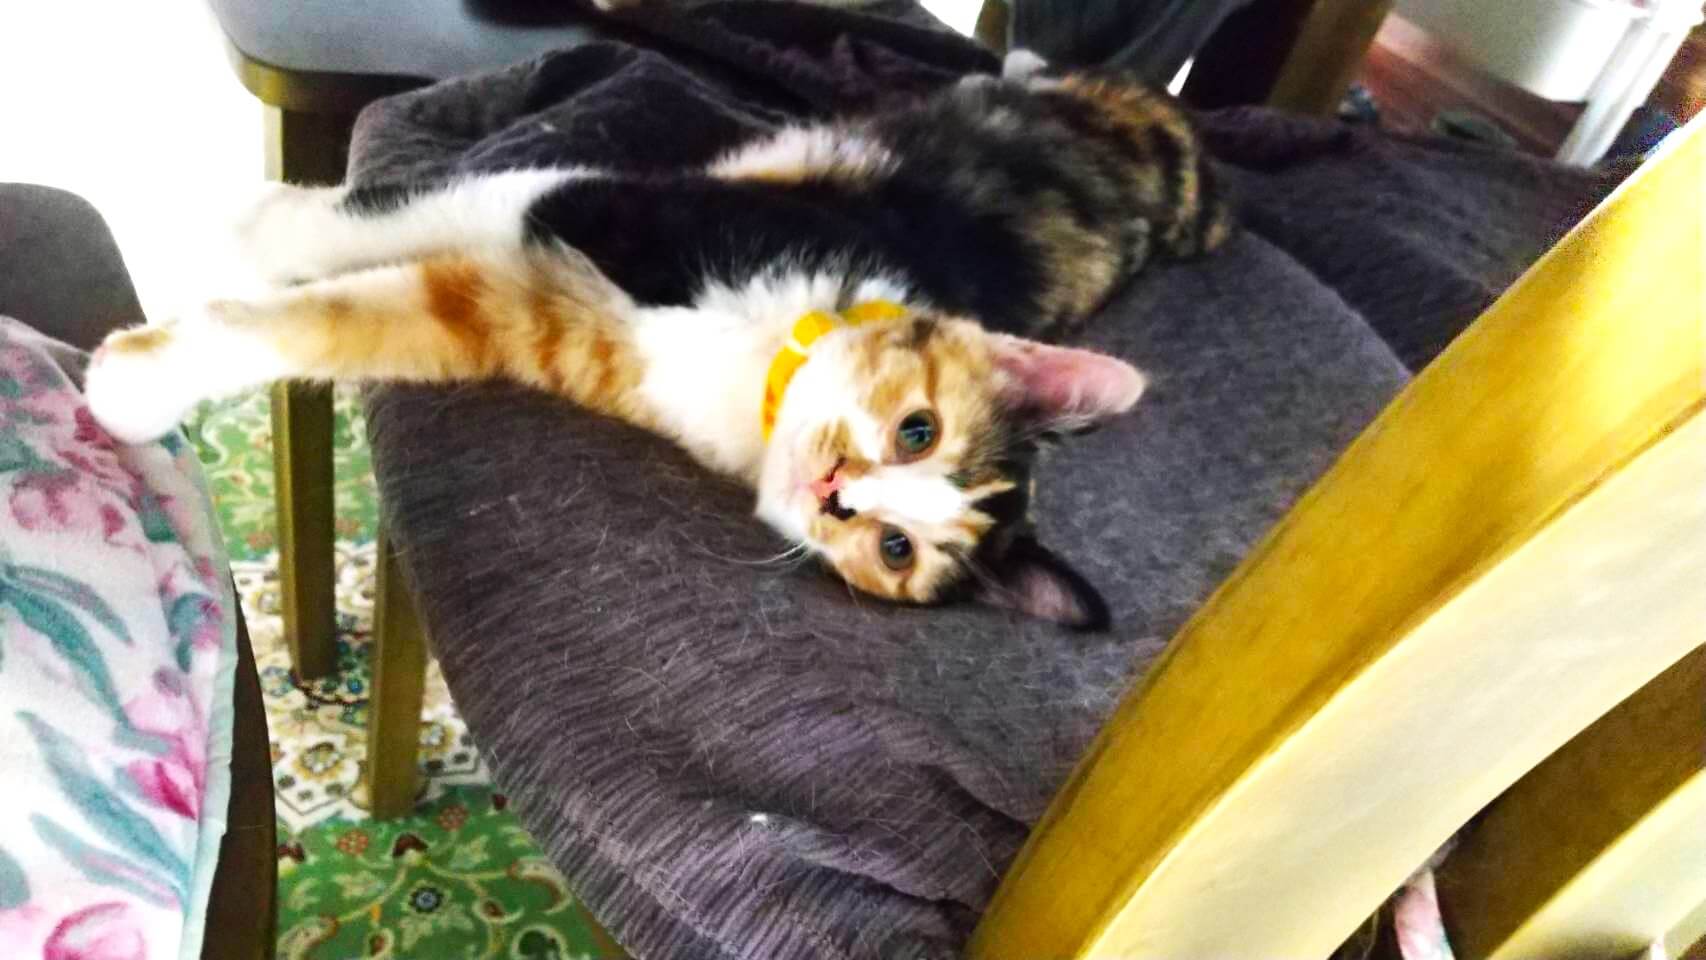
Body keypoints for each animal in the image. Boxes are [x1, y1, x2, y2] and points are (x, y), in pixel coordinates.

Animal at [84, 54, 1231, 629]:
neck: (765, 355)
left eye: (895, 551)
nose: (836, 494)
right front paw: (237, 219)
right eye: (918, 430)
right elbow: (382, 215)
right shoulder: (619, 210)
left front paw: (141, 383)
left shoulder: (543, 323)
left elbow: (356, 316)